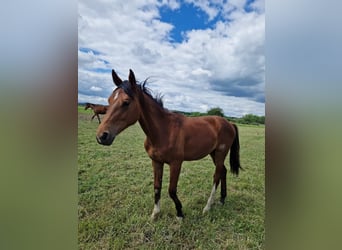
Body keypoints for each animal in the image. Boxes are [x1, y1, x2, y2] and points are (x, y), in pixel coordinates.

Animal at [95, 69, 242, 220]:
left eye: (126, 102)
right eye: (109, 100)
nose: (102, 136)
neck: (164, 130)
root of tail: (229, 123)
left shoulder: (176, 163)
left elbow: (171, 190)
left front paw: (180, 213)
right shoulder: (156, 162)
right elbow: (157, 187)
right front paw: (155, 214)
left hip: (220, 153)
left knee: (217, 176)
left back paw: (207, 207)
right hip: (214, 154)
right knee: (223, 171)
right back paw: (222, 199)